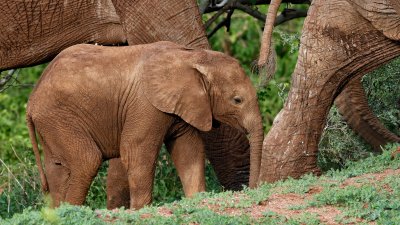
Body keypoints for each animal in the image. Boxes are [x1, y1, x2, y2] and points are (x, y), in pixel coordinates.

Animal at [25, 41, 262, 209]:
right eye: (237, 100)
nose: (251, 190)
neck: (192, 56)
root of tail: (32, 98)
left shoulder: (182, 104)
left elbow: (189, 150)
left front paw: (196, 200)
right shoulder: (146, 104)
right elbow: (136, 151)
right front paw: (140, 210)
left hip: (51, 121)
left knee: (57, 168)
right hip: (59, 116)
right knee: (86, 160)